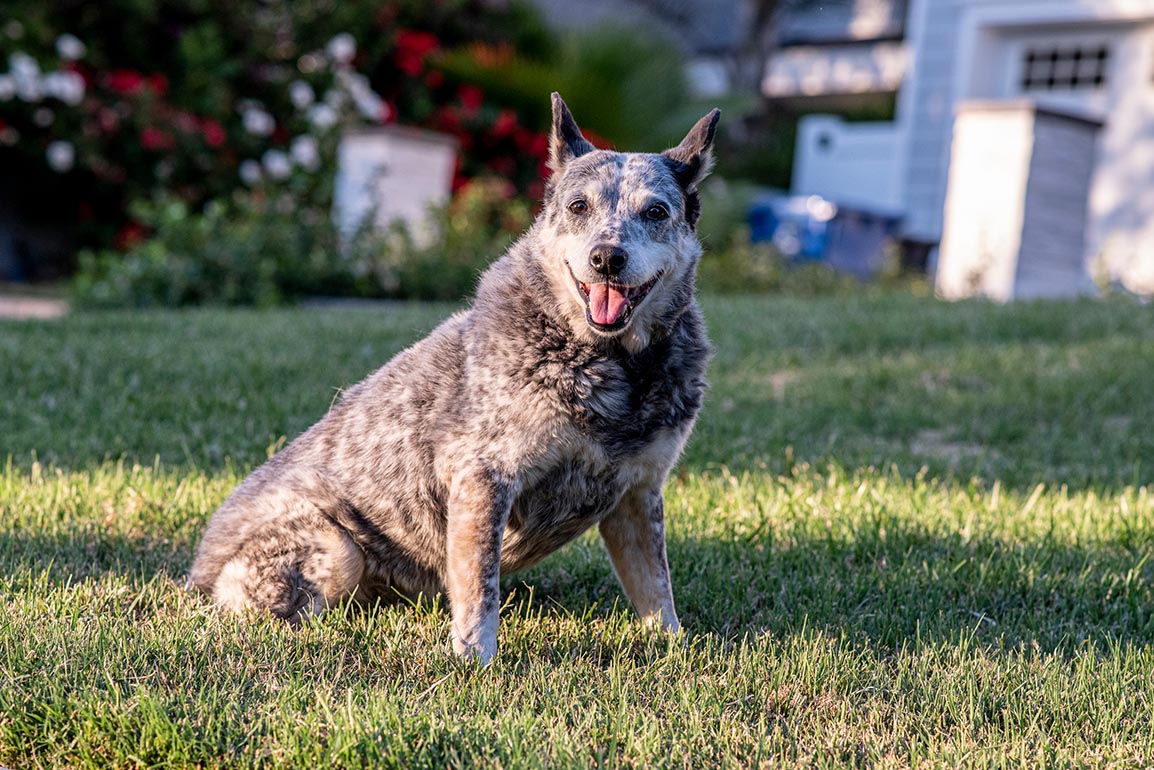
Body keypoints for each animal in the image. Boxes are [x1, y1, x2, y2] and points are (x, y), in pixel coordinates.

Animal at [190, 94, 715, 664]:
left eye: (656, 211)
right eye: (579, 206)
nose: (606, 258)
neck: (612, 365)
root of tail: (195, 573)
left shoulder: (637, 493)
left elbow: (656, 589)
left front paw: (676, 650)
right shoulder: (482, 476)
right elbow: (480, 588)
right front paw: (473, 659)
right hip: (335, 545)